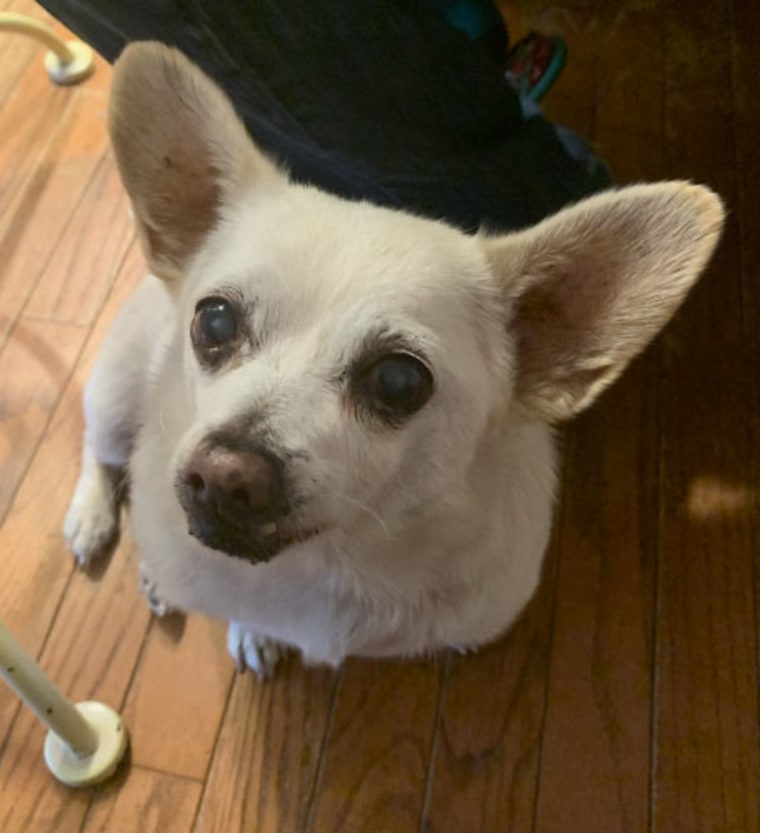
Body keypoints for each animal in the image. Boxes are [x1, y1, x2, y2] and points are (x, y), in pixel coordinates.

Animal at [63, 42, 724, 676]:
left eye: (400, 382)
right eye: (214, 321)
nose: (225, 473)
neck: (329, 563)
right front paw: (252, 628)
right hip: (117, 393)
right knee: (100, 449)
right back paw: (93, 520)